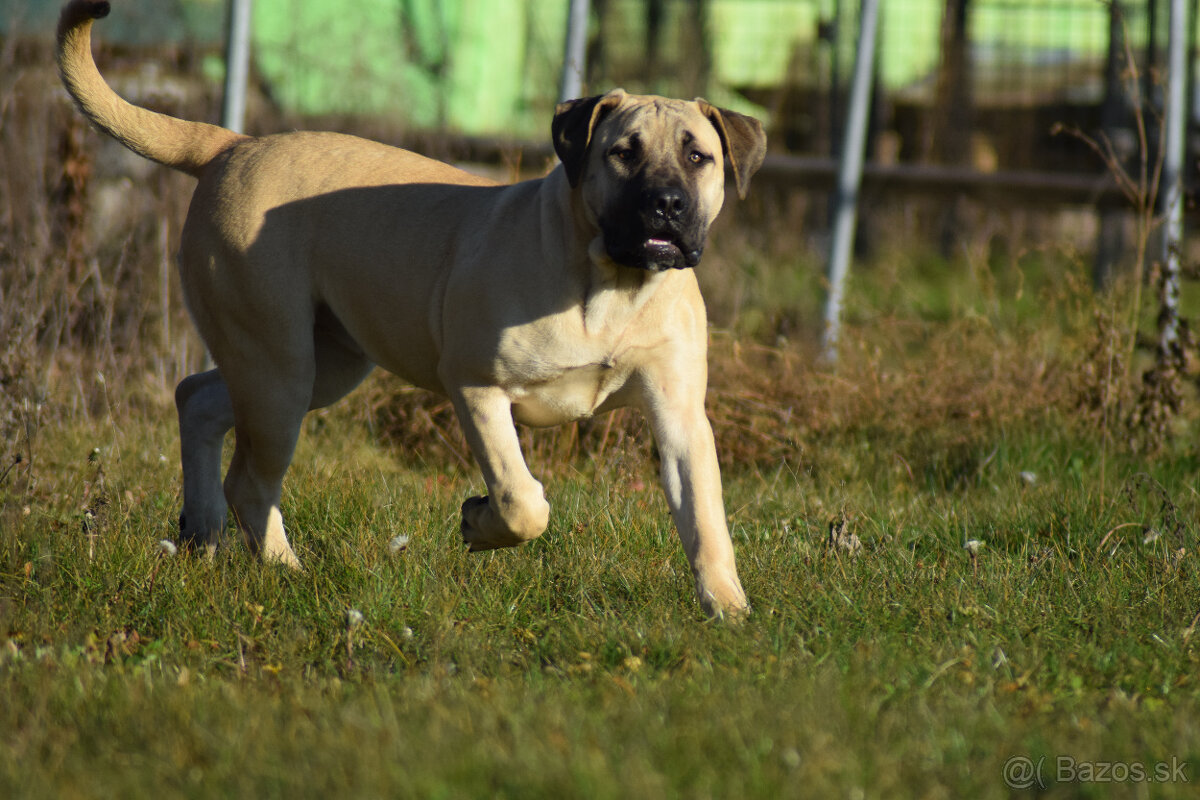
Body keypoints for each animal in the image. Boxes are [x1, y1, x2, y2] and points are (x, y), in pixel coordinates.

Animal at [56, 0, 763, 618]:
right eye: (623, 152)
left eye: (698, 156)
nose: (667, 204)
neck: (611, 285)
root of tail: (231, 145)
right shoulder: (477, 387)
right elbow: (522, 499)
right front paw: (479, 522)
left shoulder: (679, 416)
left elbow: (705, 521)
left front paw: (728, 609)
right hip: (278, 369)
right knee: (250, 482)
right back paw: (286, 571)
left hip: (318, 365)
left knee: (199, 400)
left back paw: (201, 536)